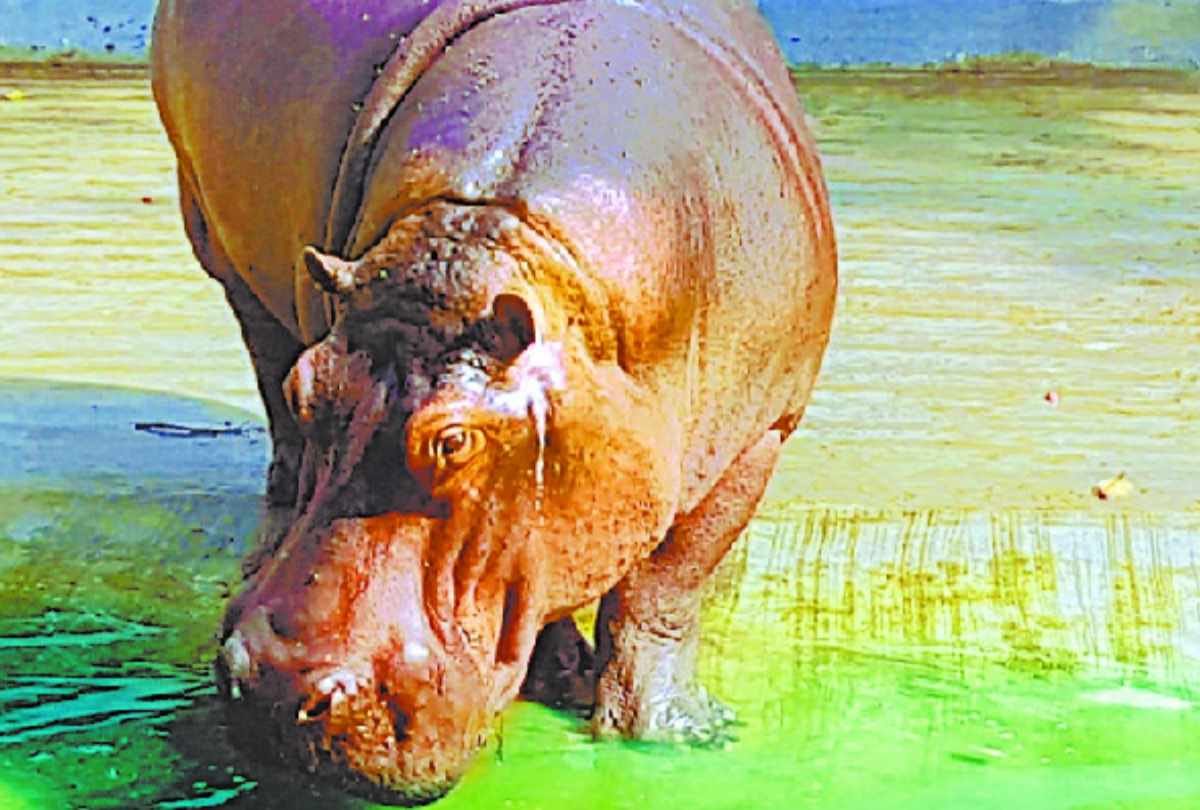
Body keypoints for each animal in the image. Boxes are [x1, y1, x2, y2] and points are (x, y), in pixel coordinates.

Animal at [151, 0, 836, 804]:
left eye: (455, 440)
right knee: (263, 364)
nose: (270, 689)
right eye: (308, 387)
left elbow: (666, 585)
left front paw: (678, 735)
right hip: (216, 244)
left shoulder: (761, 432)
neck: (496, 229)